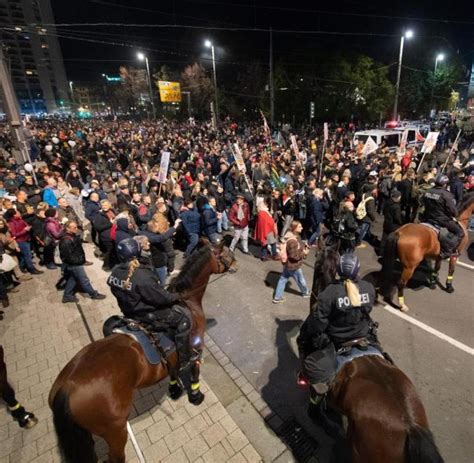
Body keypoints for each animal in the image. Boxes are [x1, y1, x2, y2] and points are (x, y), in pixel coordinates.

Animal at [49, 245, 234, 462]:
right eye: (226, 253)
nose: (235, 262)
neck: (188, 301)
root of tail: (67, 387)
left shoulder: (172, 357)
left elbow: (173, 371)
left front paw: (174, 390)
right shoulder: (196, 348)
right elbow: (194, 372)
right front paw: (195, 396)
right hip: (116, 432)